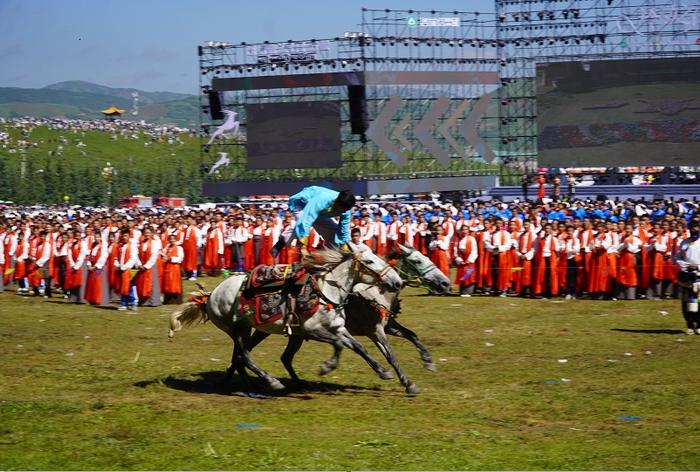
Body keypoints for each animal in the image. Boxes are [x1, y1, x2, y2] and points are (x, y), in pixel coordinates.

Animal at [166, 247, 402, 390]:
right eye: (370, 260)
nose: (397, 281)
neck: (326, 292)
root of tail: (210, 296)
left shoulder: (338, 328)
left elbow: (359, 347)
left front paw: (384, 372)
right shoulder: (312, 330)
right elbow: (338, 346)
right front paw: (327, 367)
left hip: (250, 330)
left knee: (241, 356)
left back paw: (248, 384)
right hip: (235, 329)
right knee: (245, 355)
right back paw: (271, 381)